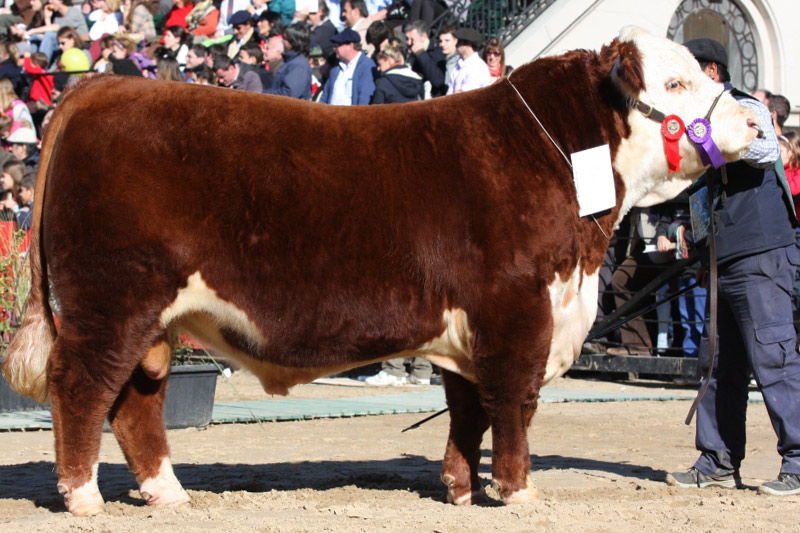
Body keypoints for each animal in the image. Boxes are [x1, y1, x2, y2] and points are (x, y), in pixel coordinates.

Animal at [1, 27, 764, 512]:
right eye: (675, 81)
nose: (756, 125)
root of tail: (101, 89)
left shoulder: (473, 326)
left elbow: (467, 410)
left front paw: (460, 488)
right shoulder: (518, 311)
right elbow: (512, 405)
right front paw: (518, 492)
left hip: (154, 316)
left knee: (135, 401)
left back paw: (167, 494)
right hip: (113, 301)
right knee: (82, 387)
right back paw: (85, 498)